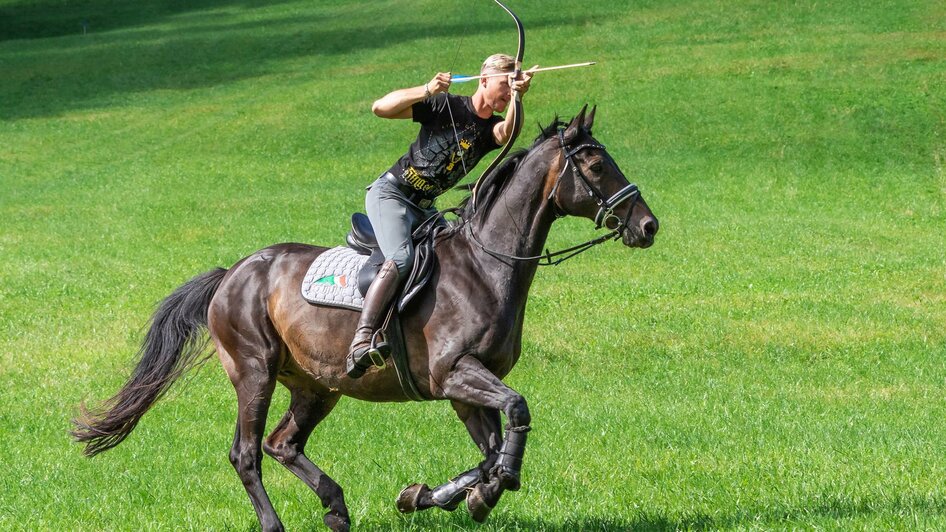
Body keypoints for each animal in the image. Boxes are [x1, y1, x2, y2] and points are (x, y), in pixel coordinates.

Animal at [72, 106, 656, 528]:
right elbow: (515, 413)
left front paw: (435, 496)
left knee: (282, 443)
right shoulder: (456, 374)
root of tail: (232, 273)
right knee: (246, 452)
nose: (648, 226)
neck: (486, 266)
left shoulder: (465, 389)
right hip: (254, 371)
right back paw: (277, 523)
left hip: (316, 385)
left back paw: (336, 506)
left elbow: (491, 449)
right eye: (597, 165)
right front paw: (485, 492)